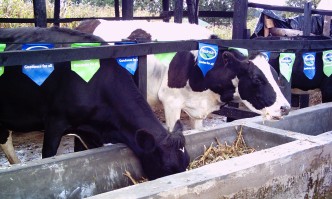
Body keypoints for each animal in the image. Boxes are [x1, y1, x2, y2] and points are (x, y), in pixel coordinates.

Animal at [76, 19, 290, 131]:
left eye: (276, 76)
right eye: (257, 79)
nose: (286, 108)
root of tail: (88, 21)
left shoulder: (198, 108)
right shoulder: (171, 102)